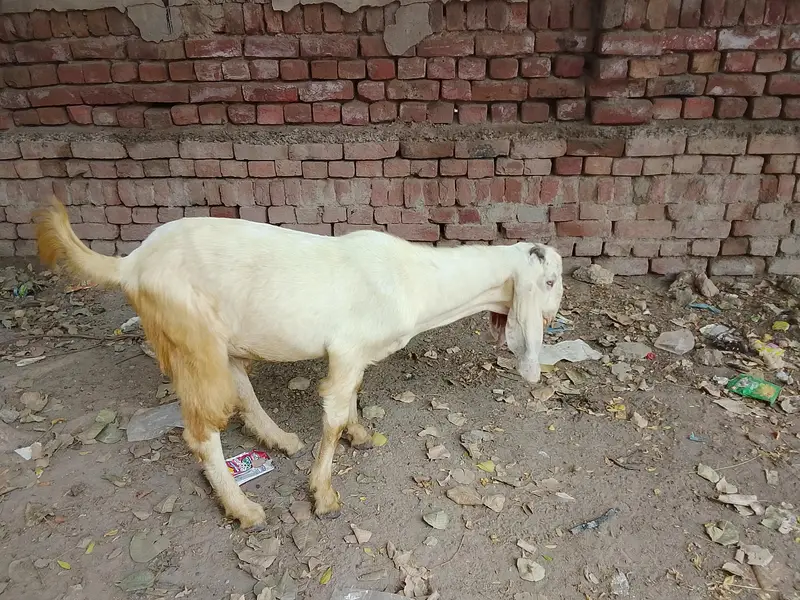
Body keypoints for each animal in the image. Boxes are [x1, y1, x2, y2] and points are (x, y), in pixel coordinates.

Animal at [35, 196, 563, 529]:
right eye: (551, 281)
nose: (554, 316)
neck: (416, 279)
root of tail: (132, 264)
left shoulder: (354, 358)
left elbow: (351, 400)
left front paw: (359, 434)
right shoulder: (347, 350)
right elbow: (331, 416)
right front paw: (323, 495)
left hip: (222, 340)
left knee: (240, 387)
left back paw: (278, 438)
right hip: (193, 341)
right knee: (201, 430)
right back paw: (243, 508)